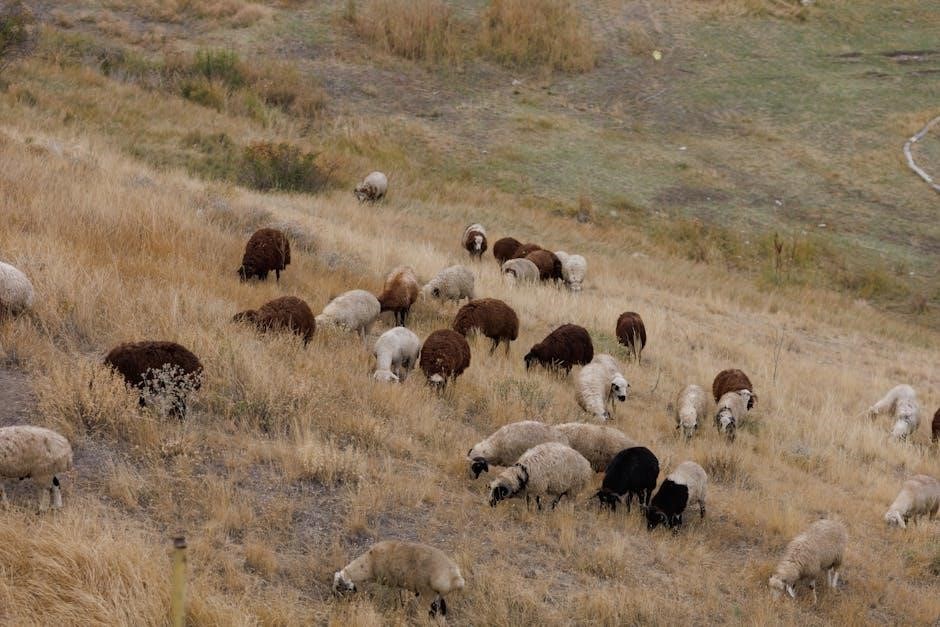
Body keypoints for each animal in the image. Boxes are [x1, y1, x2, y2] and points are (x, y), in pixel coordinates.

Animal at [333, 540, 464, 618]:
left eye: (339, 589)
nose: (338, 603)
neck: (368, 564)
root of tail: (455, 577)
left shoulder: (393, 584)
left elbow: (397, 599)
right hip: (437, 595)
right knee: (440, 608)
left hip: (428, 594)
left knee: (429, 611)